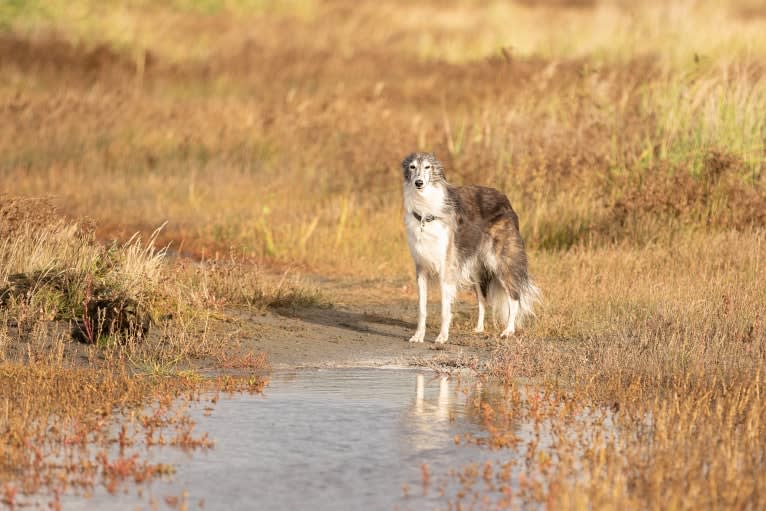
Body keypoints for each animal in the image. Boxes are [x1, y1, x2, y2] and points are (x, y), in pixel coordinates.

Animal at [402, 152, 540, 344]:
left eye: (428, 167)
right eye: (412, 167)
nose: (419, 183)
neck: (425, 211)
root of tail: (506, 200)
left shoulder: (446, 268)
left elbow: (445, 308)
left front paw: (442, 337)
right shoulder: (421, 268)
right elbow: (422, 308)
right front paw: (418, 336)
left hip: (500, 262)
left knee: (514, 296)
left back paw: (508, 331)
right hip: (475, 269)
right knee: (482, 299)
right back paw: (479, 328)